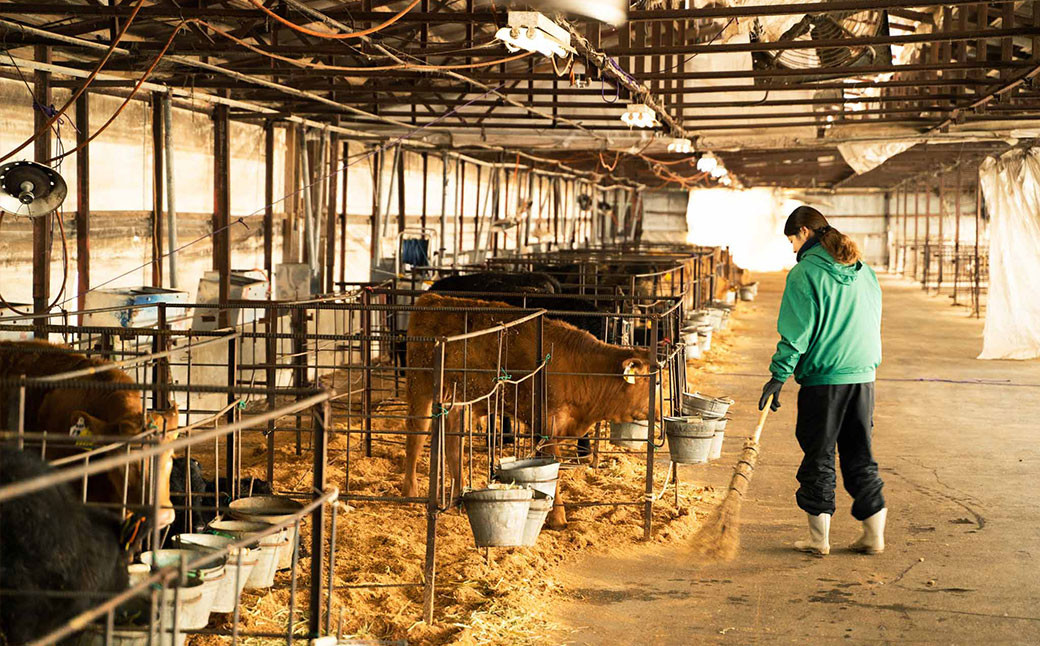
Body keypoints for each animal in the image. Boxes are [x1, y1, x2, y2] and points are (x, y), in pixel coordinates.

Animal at [401, 295, 653, 526]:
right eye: (655, 382)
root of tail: (431, 299)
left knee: (453, 445)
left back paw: (458, 496)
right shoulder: (545, 425)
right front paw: (558, 518)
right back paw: (410, 492)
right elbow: (553, 471)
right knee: (415, 436)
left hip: (460, 402)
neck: (582, 368)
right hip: (419, 385)